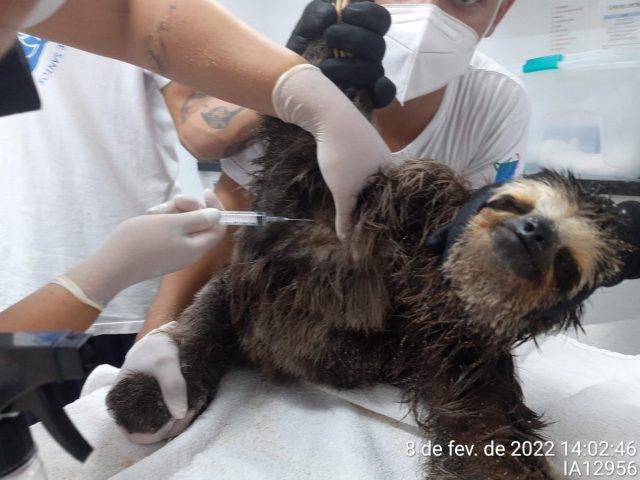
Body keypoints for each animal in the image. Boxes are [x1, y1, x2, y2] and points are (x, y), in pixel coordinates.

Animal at [105, 25, 636, 480]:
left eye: (567, 264)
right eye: (513, 203)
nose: (534, 232)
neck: (423, 276)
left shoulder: (458, 346)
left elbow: (484, 426)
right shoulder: (320, 203)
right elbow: (306, 148)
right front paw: (342, 56)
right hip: (234, 291)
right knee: (206, 315)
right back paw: (150, 390)